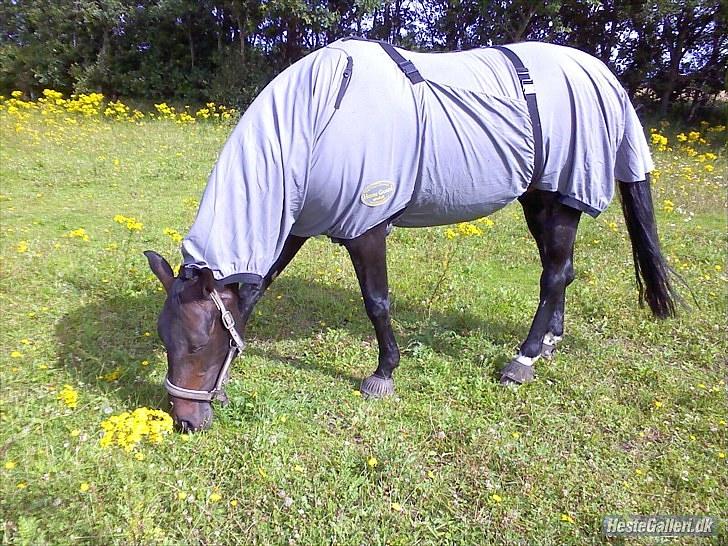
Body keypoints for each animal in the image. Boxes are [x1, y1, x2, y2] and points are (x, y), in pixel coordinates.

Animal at [142, 38, 676, 432]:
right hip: (543, 200)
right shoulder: (298, 222)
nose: (185, 421)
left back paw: (522, 360)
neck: (318, 116)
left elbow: (376, 302)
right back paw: (548, 342)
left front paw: (383, 374)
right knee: (560, 271)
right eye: (164, 339)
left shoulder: (365, 226)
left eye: (197, 343)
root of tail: (603, 74)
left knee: (554, 275)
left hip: (558, 198)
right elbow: (259, 288)